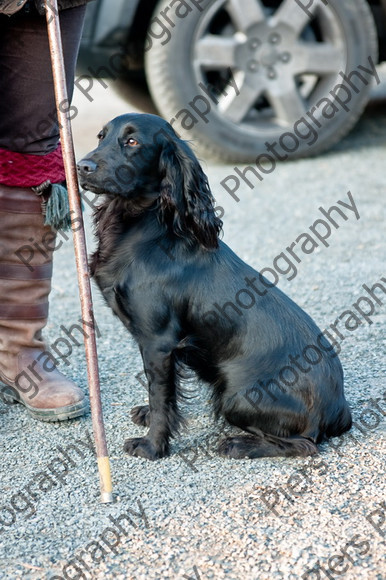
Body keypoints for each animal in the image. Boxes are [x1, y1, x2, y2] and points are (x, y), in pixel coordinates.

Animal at [77, 111, 352, 460]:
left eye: (132, 141)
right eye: (101, 137)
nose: (82, 166)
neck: (144, 229)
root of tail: (338, 409)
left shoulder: (158, 341)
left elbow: (160, 394)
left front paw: (153, 445)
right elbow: (163, 394)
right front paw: (148, 418)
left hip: (234, 395)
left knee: (304, 444)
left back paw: (238, 444)